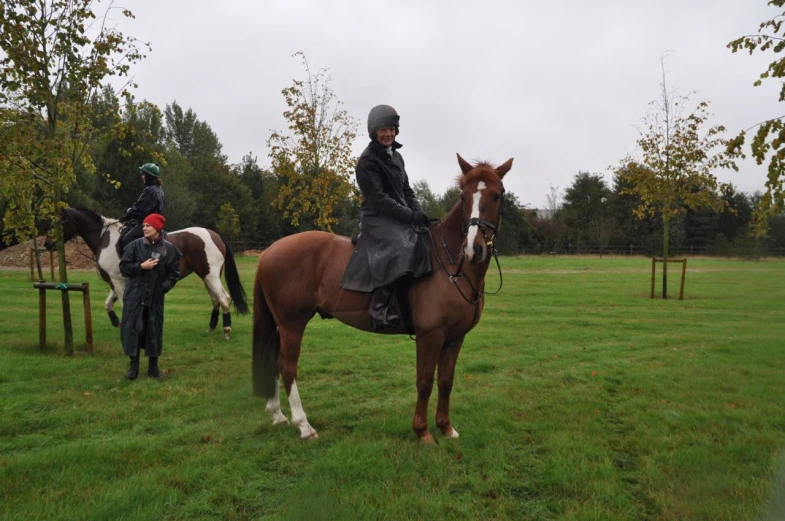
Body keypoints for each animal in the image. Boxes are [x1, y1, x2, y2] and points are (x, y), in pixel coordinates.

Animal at [253, 154, 516, 442]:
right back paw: (303, 425)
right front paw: (422, 431)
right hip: (292, 324)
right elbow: (425, 381)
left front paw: (446, 427)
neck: (449, 264)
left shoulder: (455, 337)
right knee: (288, 368)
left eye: (496, 195)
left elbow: (446, 381)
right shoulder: (430, 335)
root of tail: (268, 252)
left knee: (273, 363)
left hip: (282, 325)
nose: (473, 249)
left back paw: (278, 415)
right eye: (463, 196)